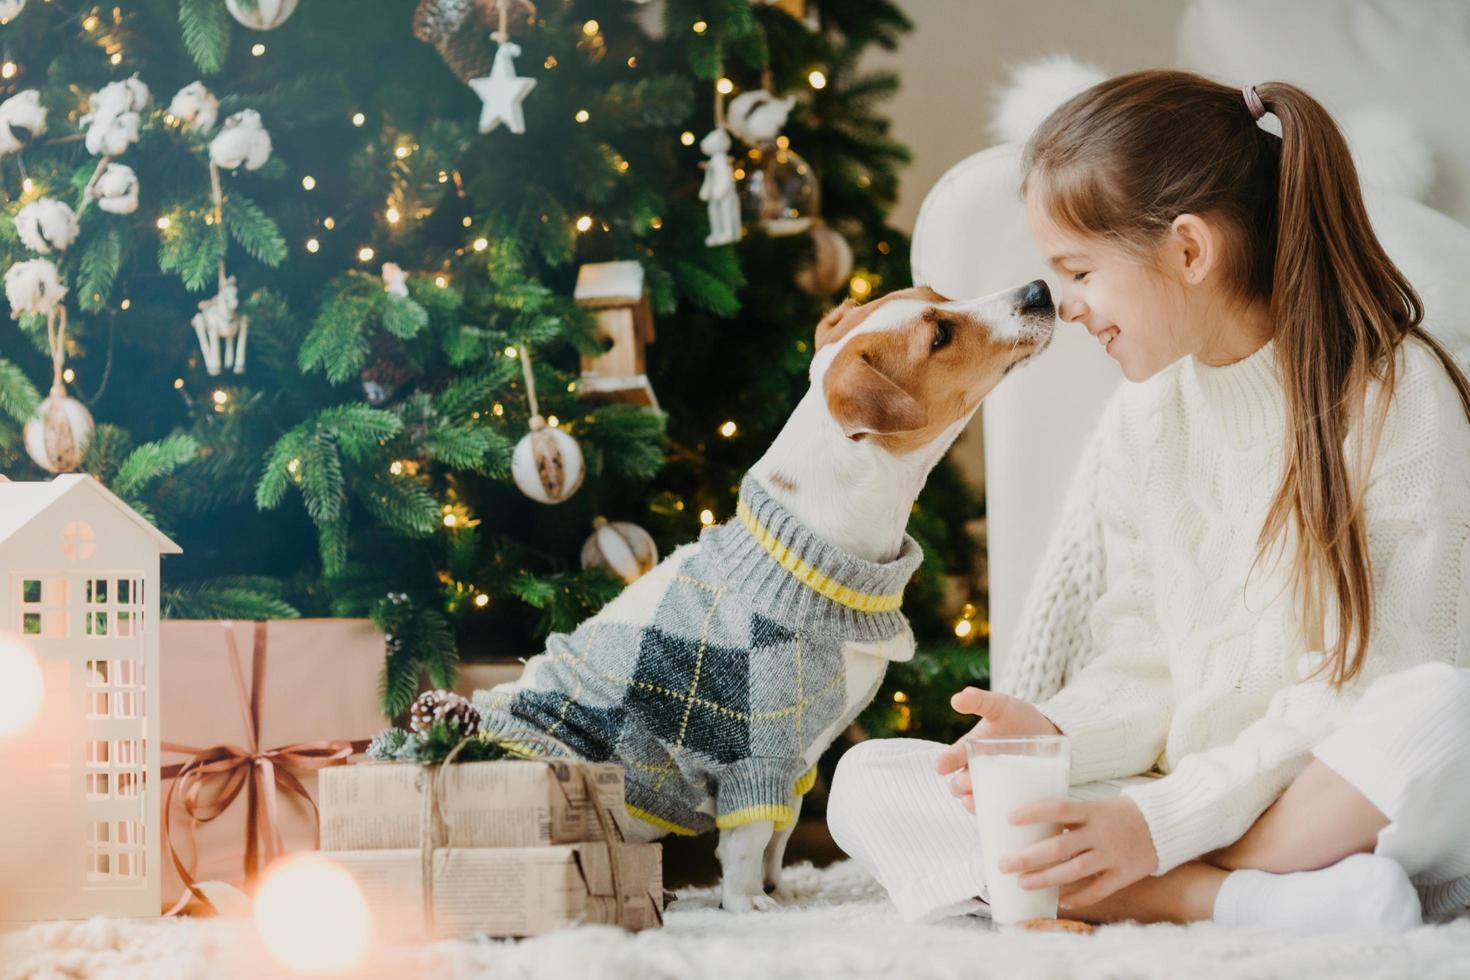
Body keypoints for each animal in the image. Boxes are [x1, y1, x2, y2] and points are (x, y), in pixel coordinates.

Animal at [473, 282, 1058, 910]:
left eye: (937, 294)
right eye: (940, 335)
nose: (1038, 289)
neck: (814, 553)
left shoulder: (798, 762)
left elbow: (782, 832)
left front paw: (785, 891)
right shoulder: (755, 756)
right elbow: (748, 841)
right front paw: (747, 903)